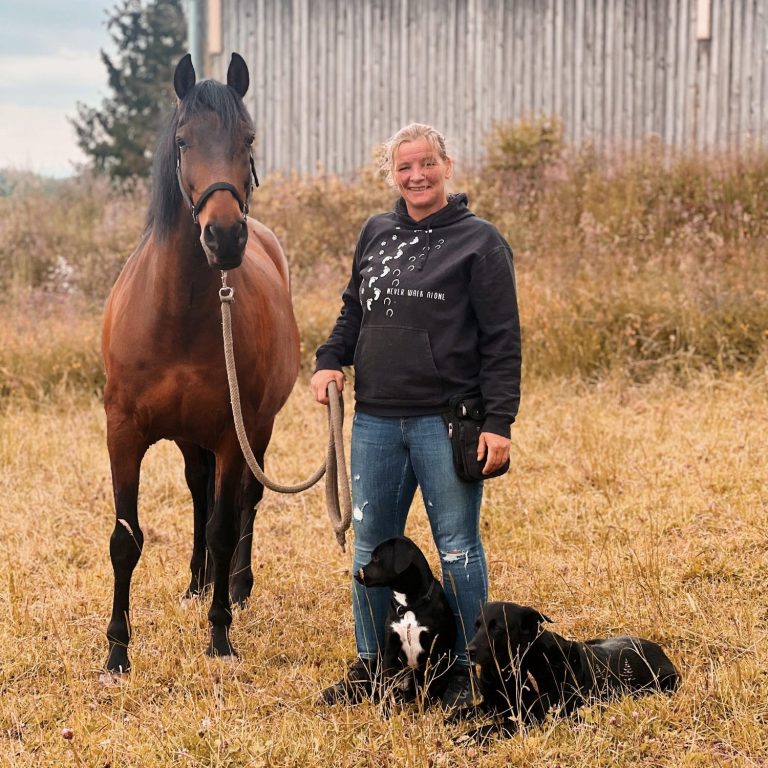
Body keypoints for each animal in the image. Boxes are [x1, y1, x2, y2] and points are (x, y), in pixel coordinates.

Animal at [101, 52, 300, 672]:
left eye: (248, 138)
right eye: (183, 140)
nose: (225, 236)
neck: (179, 314)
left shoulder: (233, 435)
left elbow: (223, 525)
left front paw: (220, 636)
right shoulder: (123, 433)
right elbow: (126, 538)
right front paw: (117, 651)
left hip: (257, 428)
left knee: (244, 503)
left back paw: (234, 586)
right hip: (192, 439)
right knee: (197, 490)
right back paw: (197, 583)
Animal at [356, 536, 456, 702]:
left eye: (376, 558)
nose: (356, 574)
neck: (409, 606)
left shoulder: (434, 650)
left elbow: (428, 686)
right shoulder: (391, 646)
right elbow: (385, 683)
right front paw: (385, 707)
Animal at [458, 601, 680, 742]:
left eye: (497, 628)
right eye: (477, 626)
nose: (468, 651)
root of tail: (659, 650)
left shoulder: (533, 719)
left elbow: (489, 728)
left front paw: (463, 736)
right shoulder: (491, 704)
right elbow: (460, 712)